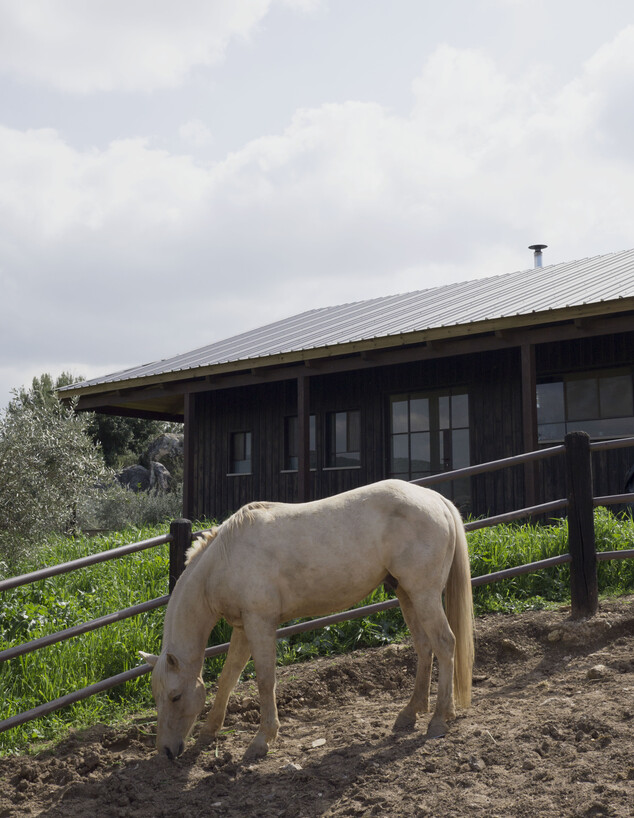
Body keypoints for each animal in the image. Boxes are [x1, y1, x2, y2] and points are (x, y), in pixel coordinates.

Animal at [141, 478, 472, 760]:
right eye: (158, 697)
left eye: (174, 696)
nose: (166, 751)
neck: (225, 558)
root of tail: (436, 499)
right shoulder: (243, 627)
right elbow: (229, 677)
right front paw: (208, 733)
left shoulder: (260, 624)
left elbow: (265, 679)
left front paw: (262, 740)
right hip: (406, 593)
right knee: (424, 646)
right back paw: (410, 713)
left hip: (424, 594)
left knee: (445, 643)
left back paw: (439, 719)